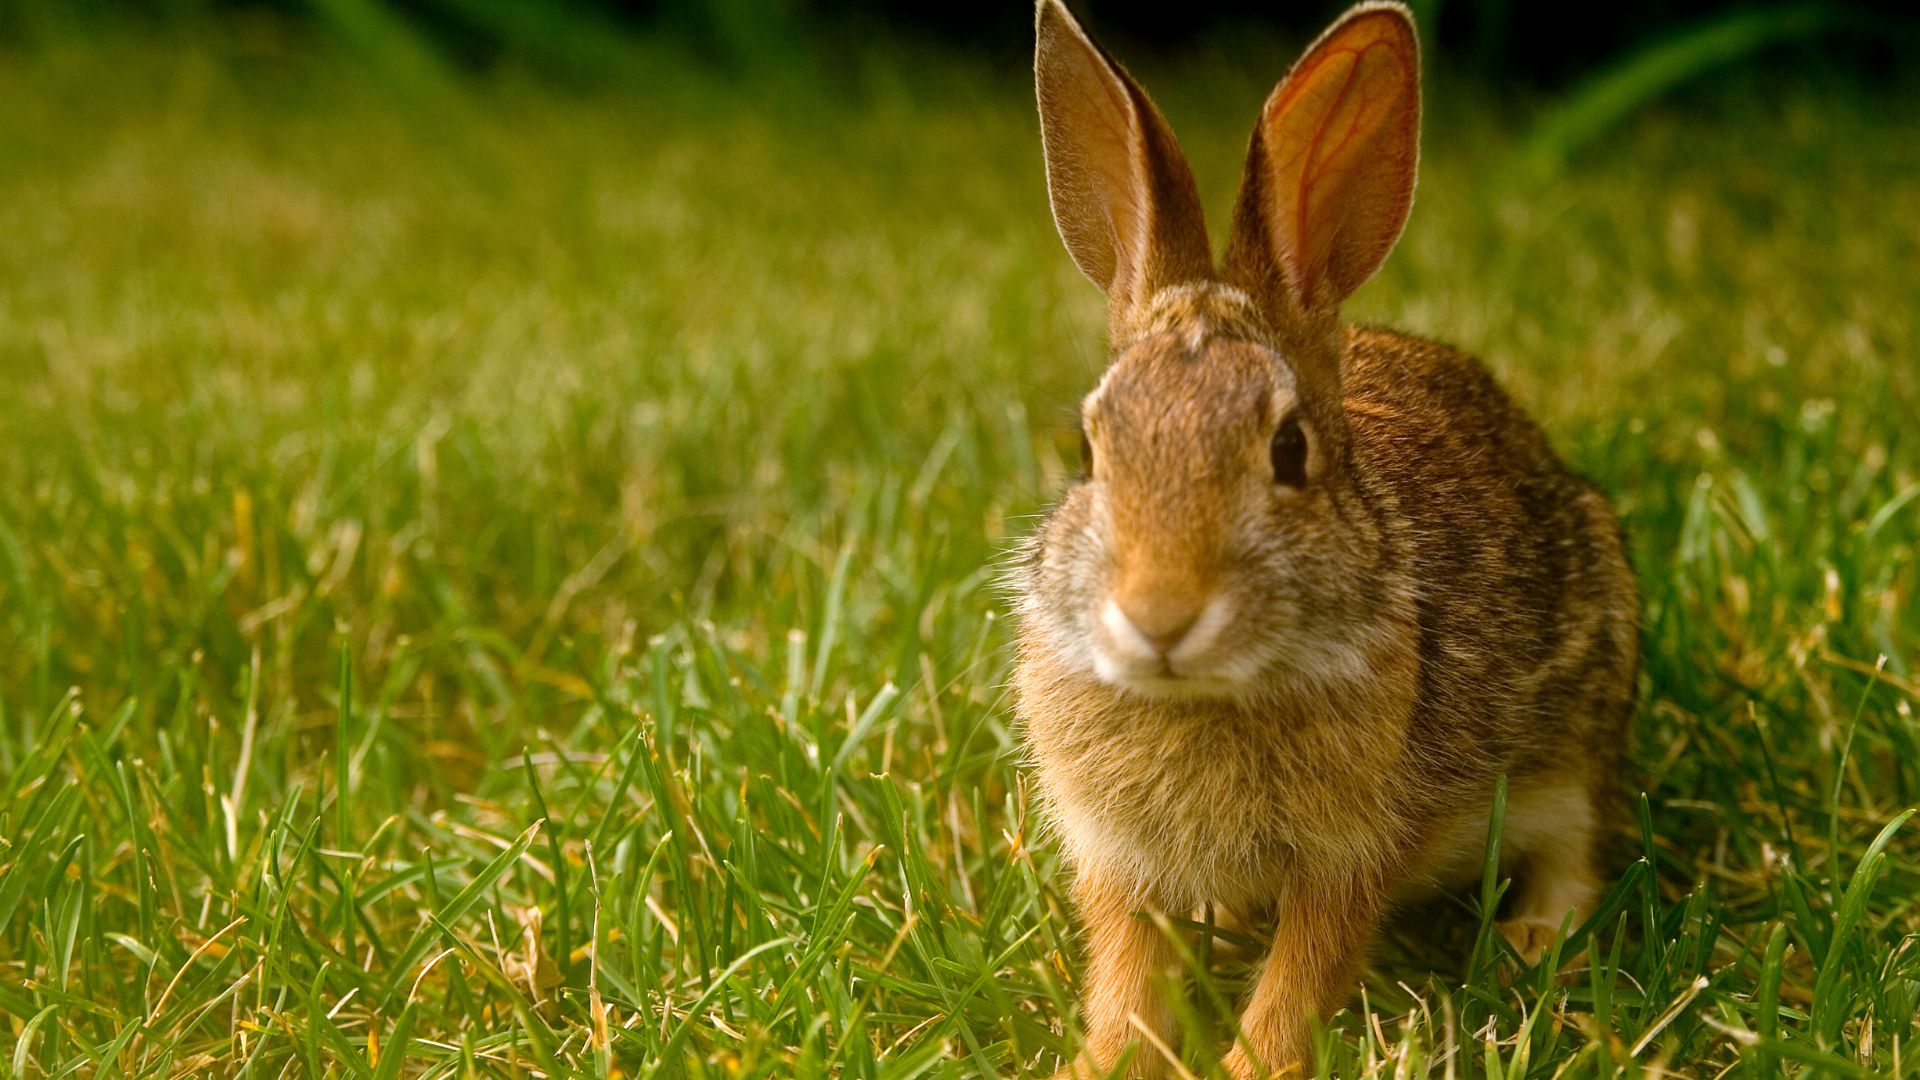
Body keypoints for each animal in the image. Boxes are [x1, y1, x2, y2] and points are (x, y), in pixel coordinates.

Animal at [1013, 2, 1643, 1076]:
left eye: (1289, 449)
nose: (1158, 617)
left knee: (1575, 851)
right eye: (1092, 449)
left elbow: (1302, 976)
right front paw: (1104, 1060)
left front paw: (1251, 1064)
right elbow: (1128, 979)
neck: (1204, 695)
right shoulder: (1119, 858)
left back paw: (1530, 946)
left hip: (1581, 729)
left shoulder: (1352, 852)